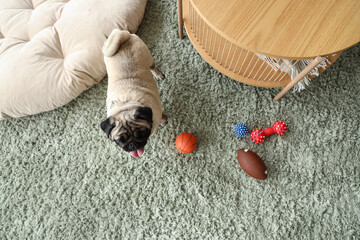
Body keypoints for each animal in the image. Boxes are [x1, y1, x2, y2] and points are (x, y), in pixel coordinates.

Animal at [100, 28, 167, 158]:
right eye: (120, 140)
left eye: (140, 134)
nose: (132, 145)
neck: (125, 104)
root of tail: (122, 35)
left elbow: (161, 117)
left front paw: (163, 121)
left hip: (148, 57)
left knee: (152, 67)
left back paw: (157, 74)